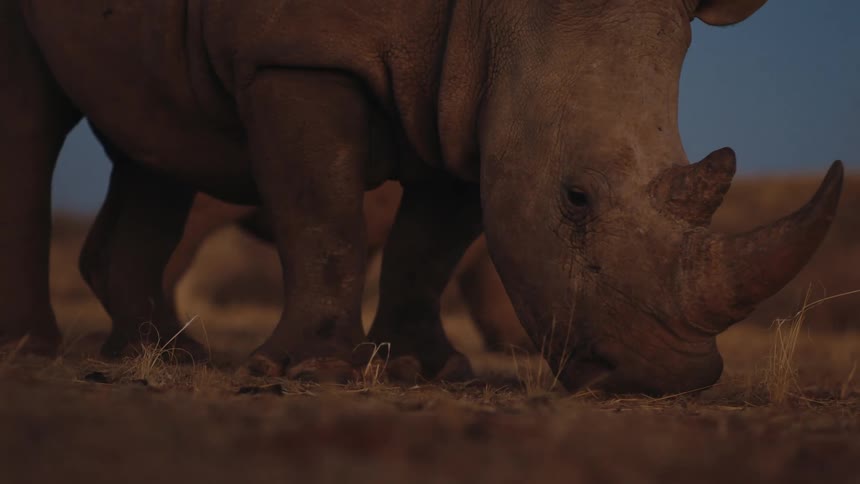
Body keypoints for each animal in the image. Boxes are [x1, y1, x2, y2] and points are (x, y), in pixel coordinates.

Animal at [0, 0, 842, 394]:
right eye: (575, 198)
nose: (665, 378)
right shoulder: (298, 53)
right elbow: (323, 214)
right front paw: (315, 372)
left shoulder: (477, 99)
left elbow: (431, 243)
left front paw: (424, 370)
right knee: (33, 120)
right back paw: (33, 350)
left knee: (156, 133)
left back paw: (158, 352)